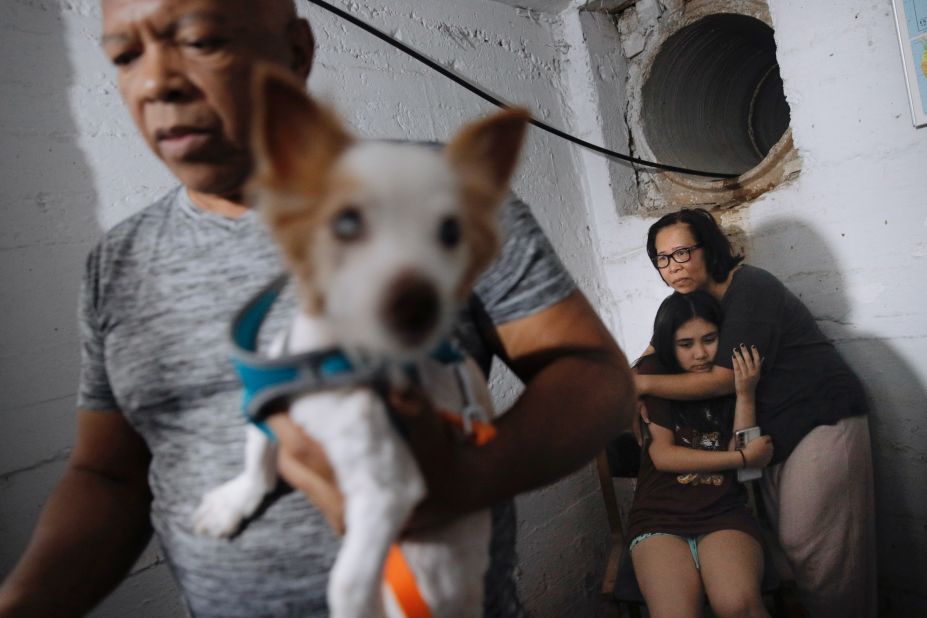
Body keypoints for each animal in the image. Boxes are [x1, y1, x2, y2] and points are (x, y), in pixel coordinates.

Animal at [194, 67, 528, 616]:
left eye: (451, 232)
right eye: (346, 223)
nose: (418, 304)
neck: (331, 365)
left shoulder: (387, 489)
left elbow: (346, 583)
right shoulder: (269, 399)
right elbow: (257, 455)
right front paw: (231, 502)